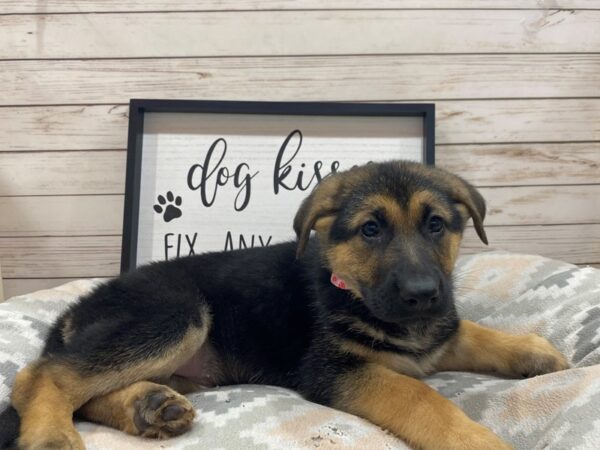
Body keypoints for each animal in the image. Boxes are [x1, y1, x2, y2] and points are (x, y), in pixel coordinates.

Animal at [3, 162, 568, 450]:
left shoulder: (431, 332)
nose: (423, 294)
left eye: (436, 225)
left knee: (85, 385)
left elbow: (468, 331)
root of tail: (74, 311)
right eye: (371, 230)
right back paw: (53, 436)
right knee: (41, 376)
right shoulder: (335, 370)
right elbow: (422, 398)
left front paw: (535, 352)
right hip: (176, 316)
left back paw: (150, 407)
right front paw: (478, 440)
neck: (350, 289)